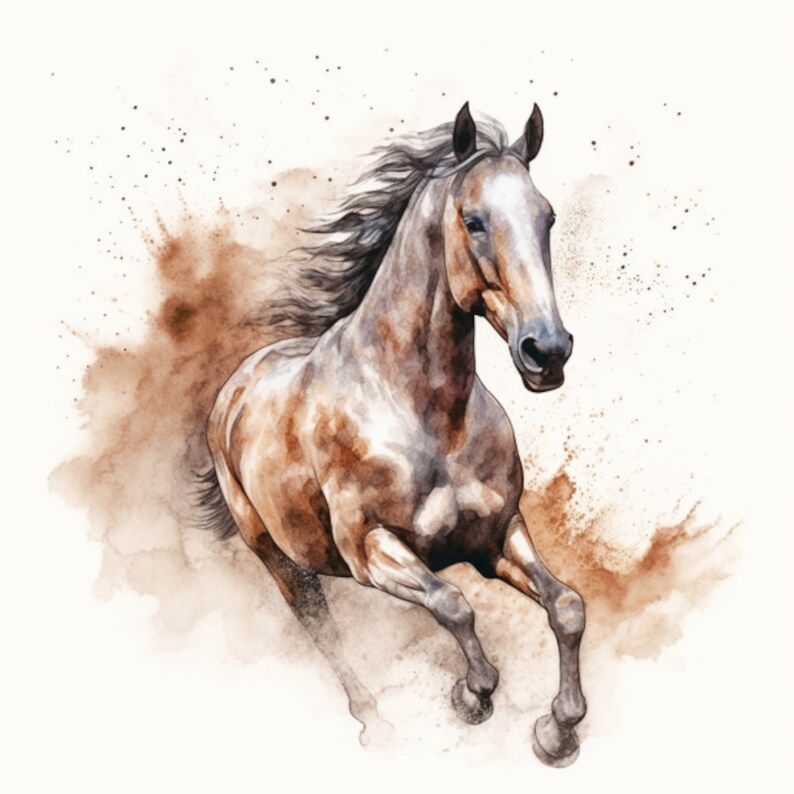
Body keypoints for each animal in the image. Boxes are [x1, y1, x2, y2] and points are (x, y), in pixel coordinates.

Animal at [199, 102, 586, 766]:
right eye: (474, 220)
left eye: (548, 216)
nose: (547, 351)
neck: (430, 419)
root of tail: (237, 385)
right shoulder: (371, 551)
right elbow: (454, 604)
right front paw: (472, 695)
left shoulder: (497, 537)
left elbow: (566, 607)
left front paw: (557, 730)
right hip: (277, 557)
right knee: (322, 630)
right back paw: (376, 726)